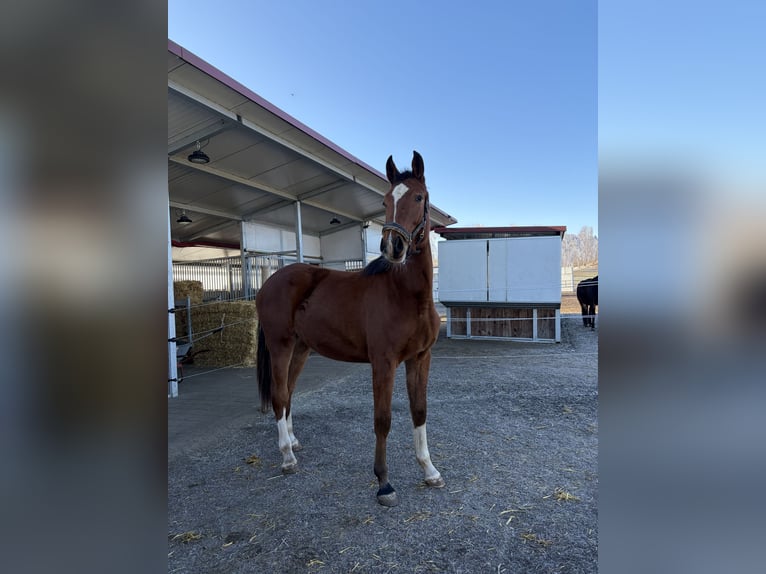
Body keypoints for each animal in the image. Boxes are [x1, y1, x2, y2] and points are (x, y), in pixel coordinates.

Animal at [255, 151, 445, 507]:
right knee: (278, 395)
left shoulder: (420, 358)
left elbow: (419, 411)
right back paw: (287, 456)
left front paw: (429, 471)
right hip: (280, 346)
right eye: (386, 200)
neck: (407, 295)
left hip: (301, 348)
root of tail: (269, 283)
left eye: (418, 197)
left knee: (288, 393)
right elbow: (382, 420)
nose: (392, 247)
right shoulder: (384, 363)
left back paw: (293, 441)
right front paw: (384, 483)